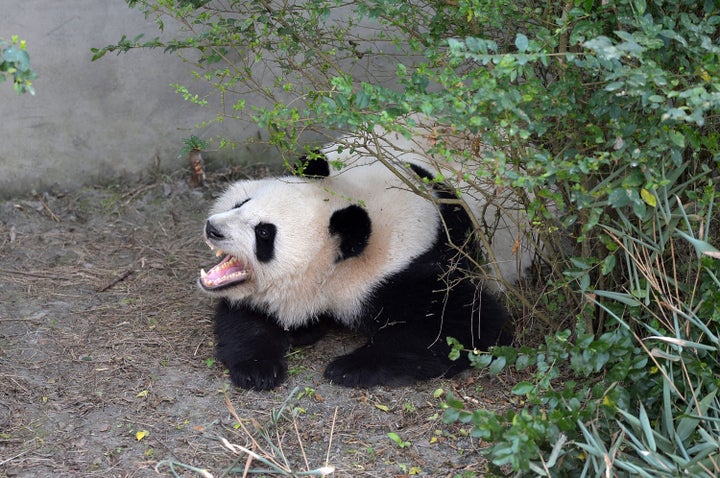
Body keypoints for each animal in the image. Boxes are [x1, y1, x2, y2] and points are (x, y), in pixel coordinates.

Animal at [200, 121, 532, 390]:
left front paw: (349, 367)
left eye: (264, 233)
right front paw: (258, 368)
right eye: (242, 203)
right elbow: (250, 315)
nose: (212, 228)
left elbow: (466, 325)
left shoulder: (413, 262)